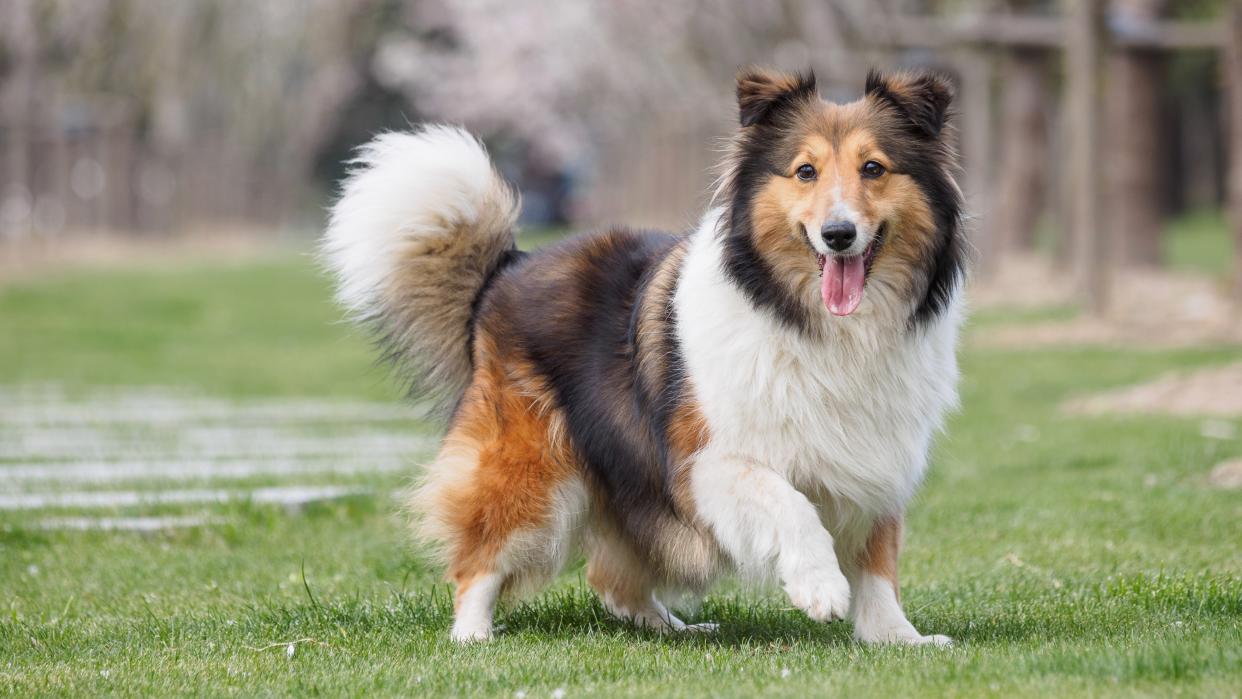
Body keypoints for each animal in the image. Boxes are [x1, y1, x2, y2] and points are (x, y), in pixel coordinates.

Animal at [320, 69, 958, 645]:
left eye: (873, 168)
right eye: (806, 171)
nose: (838, 234)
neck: (812, 321)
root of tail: (507, 267)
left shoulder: (874, 458)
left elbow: (878, 563)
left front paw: (898, 638)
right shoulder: (707, 461)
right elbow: (791, 503)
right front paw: (819, 586)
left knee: (612, 578)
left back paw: (675, 626)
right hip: (532, 471)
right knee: (480, 558)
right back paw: (472, 636)